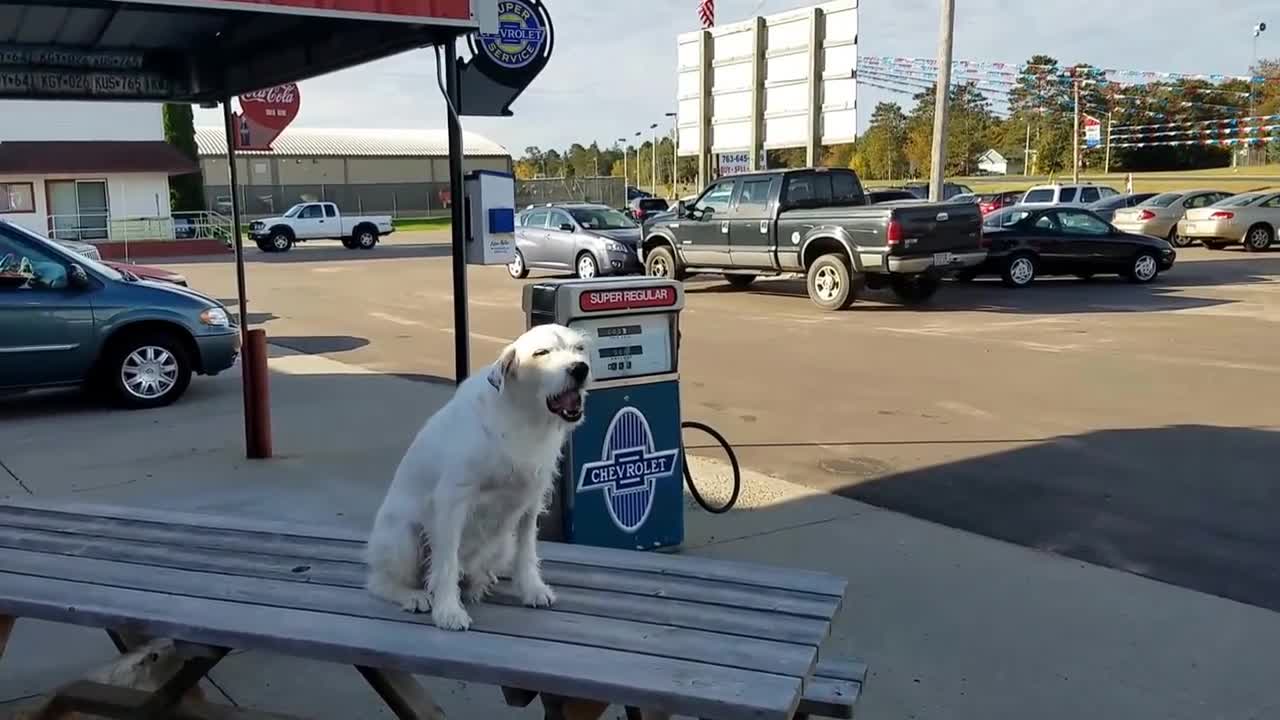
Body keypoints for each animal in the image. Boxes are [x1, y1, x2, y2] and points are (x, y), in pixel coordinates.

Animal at [366, 324, 588, 627]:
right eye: (542, 352)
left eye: (579, 348)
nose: (580, 369)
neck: (521, 417)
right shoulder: (453, 502)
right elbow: (447, 562)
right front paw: (448, 610)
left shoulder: (531, 501)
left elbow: (526, 551)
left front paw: (532, 588)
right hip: (403, 536)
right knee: (379, 582)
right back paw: (413, 595)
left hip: (501, 542)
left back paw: (480, 580)